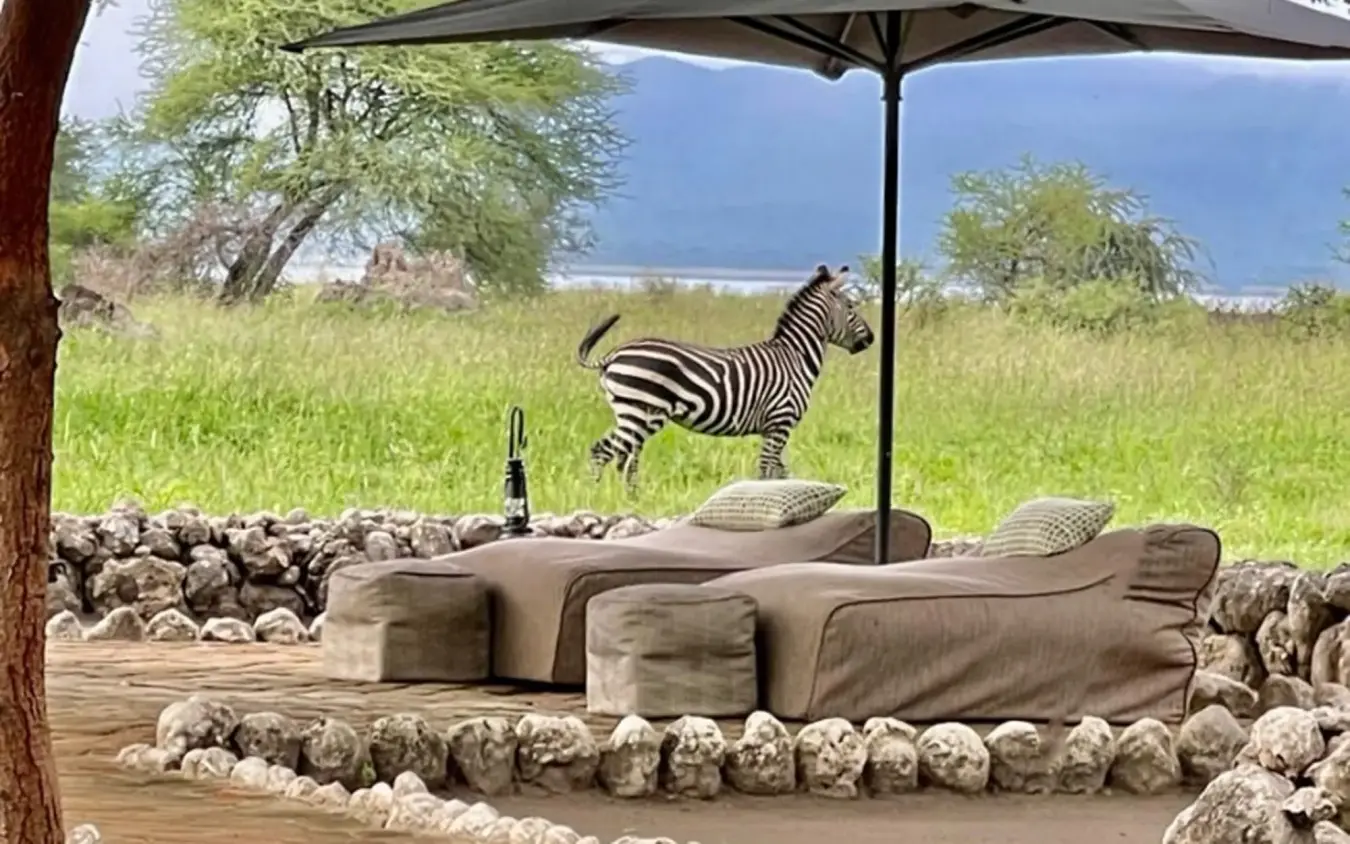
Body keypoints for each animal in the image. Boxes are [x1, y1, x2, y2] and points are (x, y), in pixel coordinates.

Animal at [574, 263, 874, 492]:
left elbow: (780, 472)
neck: (795, 356)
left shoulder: (775, 428)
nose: (871, 339)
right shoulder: (780, 422)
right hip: (641, 412)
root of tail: (613, 354)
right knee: (606, 452)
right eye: (851, 306)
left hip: (630, 413)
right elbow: (766, 471)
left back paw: (626, 499)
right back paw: (598, 497)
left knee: (621, 457)